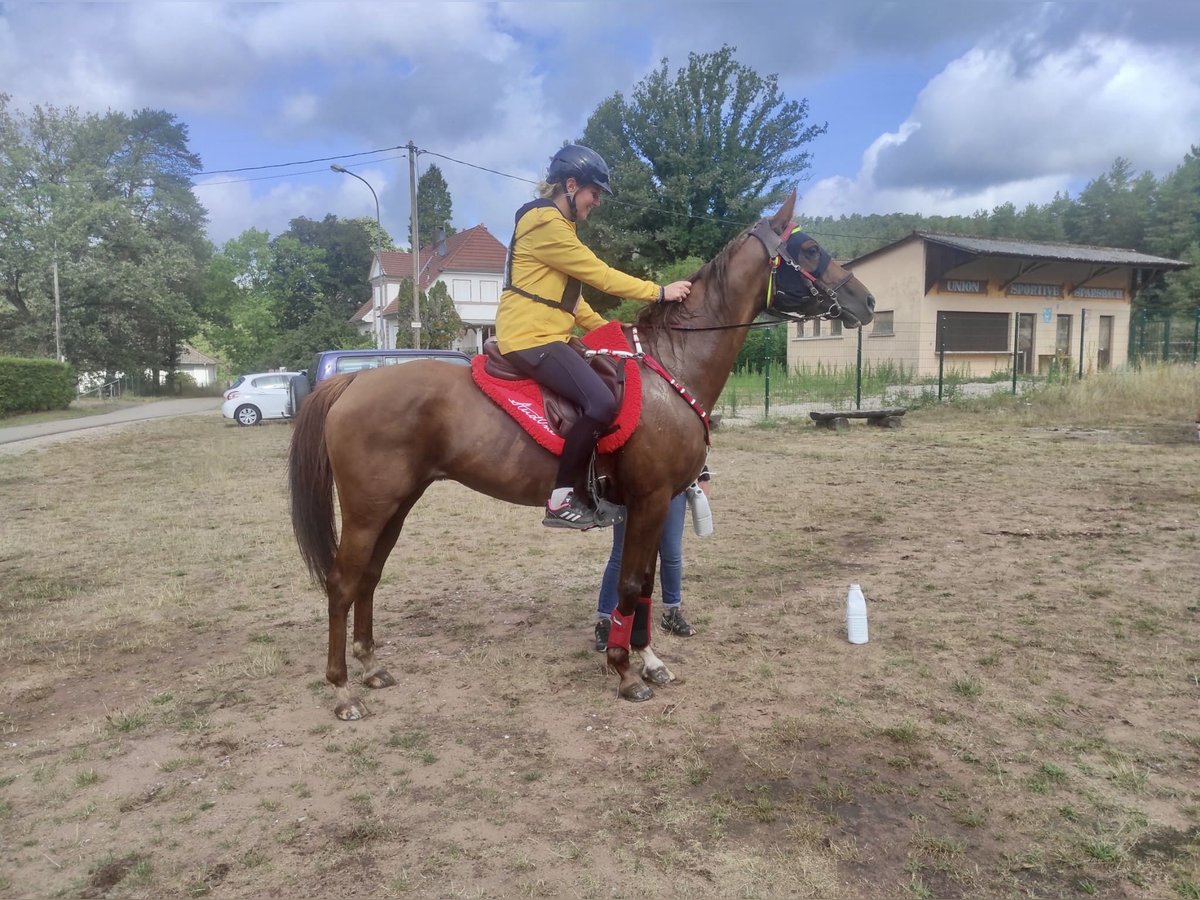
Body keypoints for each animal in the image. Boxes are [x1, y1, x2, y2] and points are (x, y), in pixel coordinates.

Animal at [289, 190, 873, 720]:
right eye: (810, 248)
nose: (865, 301)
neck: (670, 368)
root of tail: (353, 383)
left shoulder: (650, 506)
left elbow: (644, 586)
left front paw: (648, 659)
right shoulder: (652, 501)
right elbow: (632, 584)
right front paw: (624, 671)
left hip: (395, 506)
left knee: (368, 578)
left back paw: (370, 667)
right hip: (369, 510)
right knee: (342, 583)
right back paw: (343, 689)